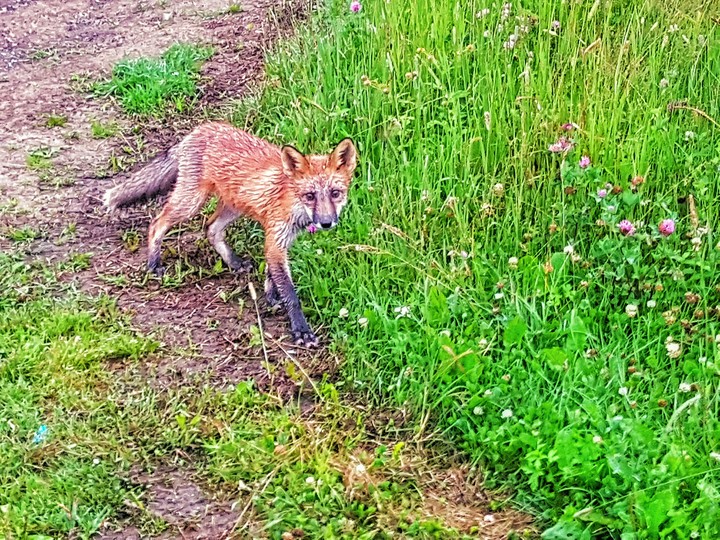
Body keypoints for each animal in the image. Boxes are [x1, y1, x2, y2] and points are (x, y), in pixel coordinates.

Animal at [102, 121, 358, 347]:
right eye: (310, 196)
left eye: (335, 193)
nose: (326, 223)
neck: (292, 202)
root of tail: (199, 129)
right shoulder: (276, 237)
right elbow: (290, 293)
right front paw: (301, 330)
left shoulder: (280, 241)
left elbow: (271, 275)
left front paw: (271, 298)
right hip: (190, 202)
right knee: (157, 224)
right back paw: (154, 263)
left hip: (232, 207)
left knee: (210, 228)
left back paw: (233, 262)